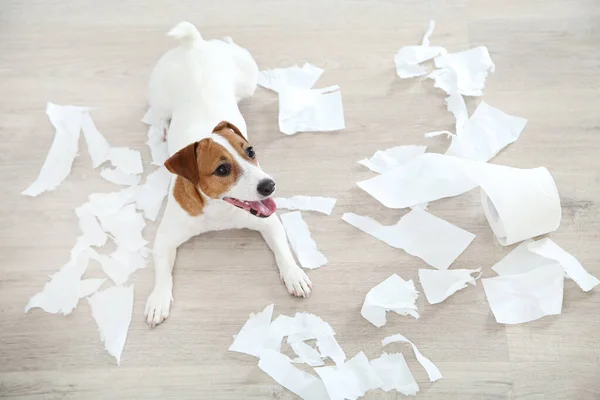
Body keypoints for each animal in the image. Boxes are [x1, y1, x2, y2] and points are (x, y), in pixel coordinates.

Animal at [145, 22, 312, 328]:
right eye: (222, 169)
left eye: (251, 151)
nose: (269, 185)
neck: (219, 211)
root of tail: (193, 44)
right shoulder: (165, 240)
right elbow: (162, 273)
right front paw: (158, 300)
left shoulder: (269, 223)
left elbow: (283, 250)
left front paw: (294, 275)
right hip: (159, 98)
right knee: (160, 114)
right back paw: (161, 128)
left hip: (248, 79)